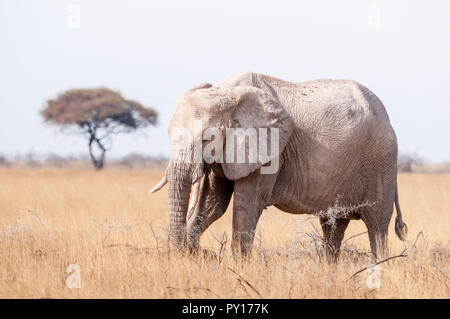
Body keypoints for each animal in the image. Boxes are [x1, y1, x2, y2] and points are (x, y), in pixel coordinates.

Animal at [151, 71, 408, 262]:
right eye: (168, 133)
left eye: (206, 138)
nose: (204, 254)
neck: (226, 93)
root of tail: (386, 115)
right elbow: (214, 203)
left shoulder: (270, 151)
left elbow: (248, 203)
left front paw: (239, 267)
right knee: (334, 225)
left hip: (381, 161)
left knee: (377, 226)